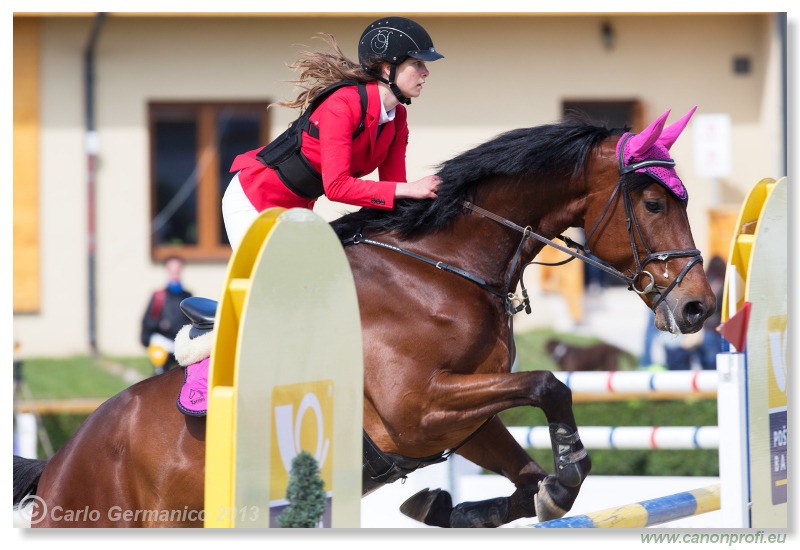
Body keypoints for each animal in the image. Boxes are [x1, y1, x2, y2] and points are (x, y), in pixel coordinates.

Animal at [12, 106, 712, 532]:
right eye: (653, 203)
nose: (699, 305)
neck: (444, 270)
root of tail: (59, 462)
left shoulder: (459, 422)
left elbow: (527, 478)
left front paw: (448, 505)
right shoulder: (417, 409)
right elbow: (549, 384)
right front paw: (562, 468)